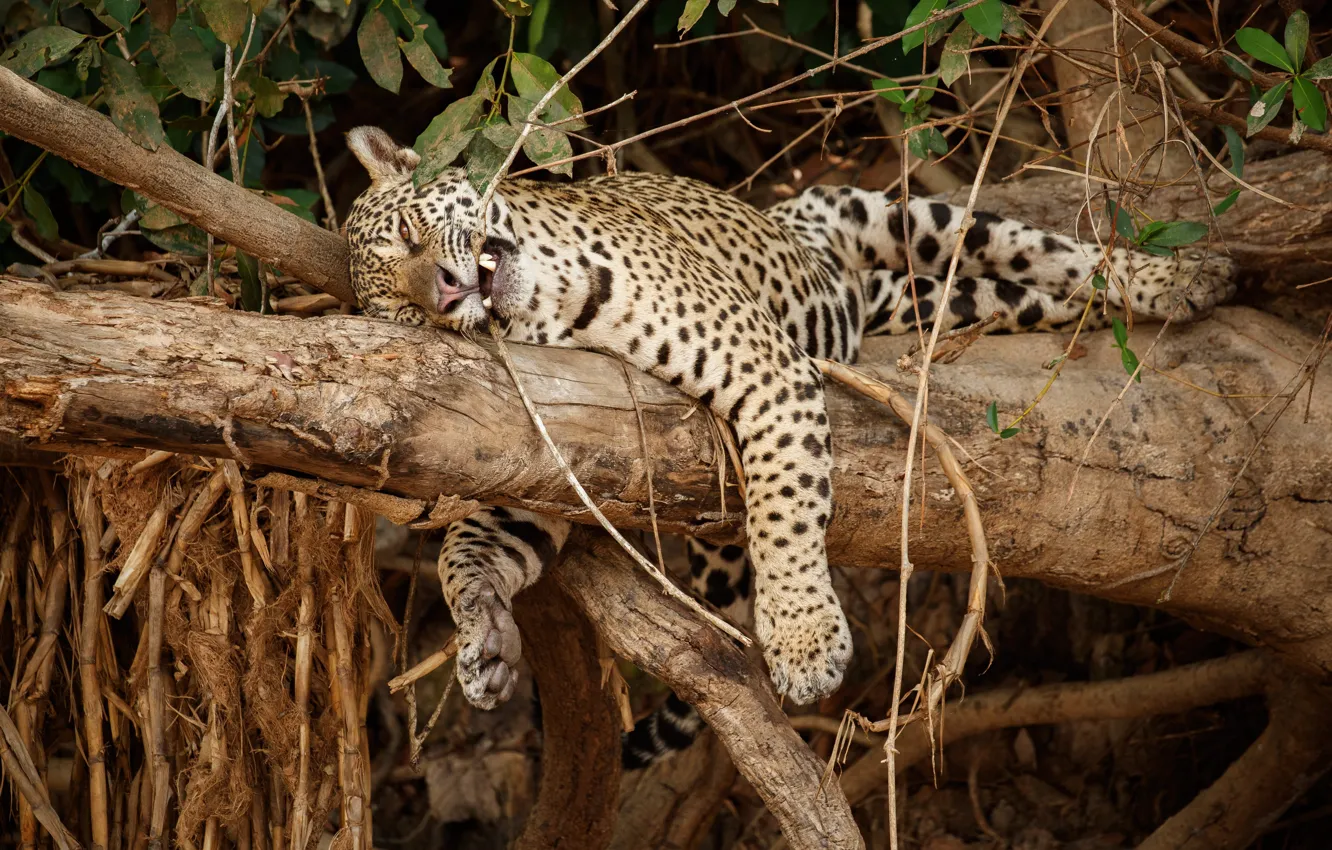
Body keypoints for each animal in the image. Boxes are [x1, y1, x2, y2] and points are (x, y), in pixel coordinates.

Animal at [343, 125, 1235, 762]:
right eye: (408, 314)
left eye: (417, 233)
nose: (447, 292)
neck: (552, 307)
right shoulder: (559, 452)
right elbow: (467, 548)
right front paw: (483, 641)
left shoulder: (762, 366)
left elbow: (783, 504)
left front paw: (805, 643)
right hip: (937, 297)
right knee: (1011, 295)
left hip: (891, 211)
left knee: (1051, 250)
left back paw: (1185, 276)